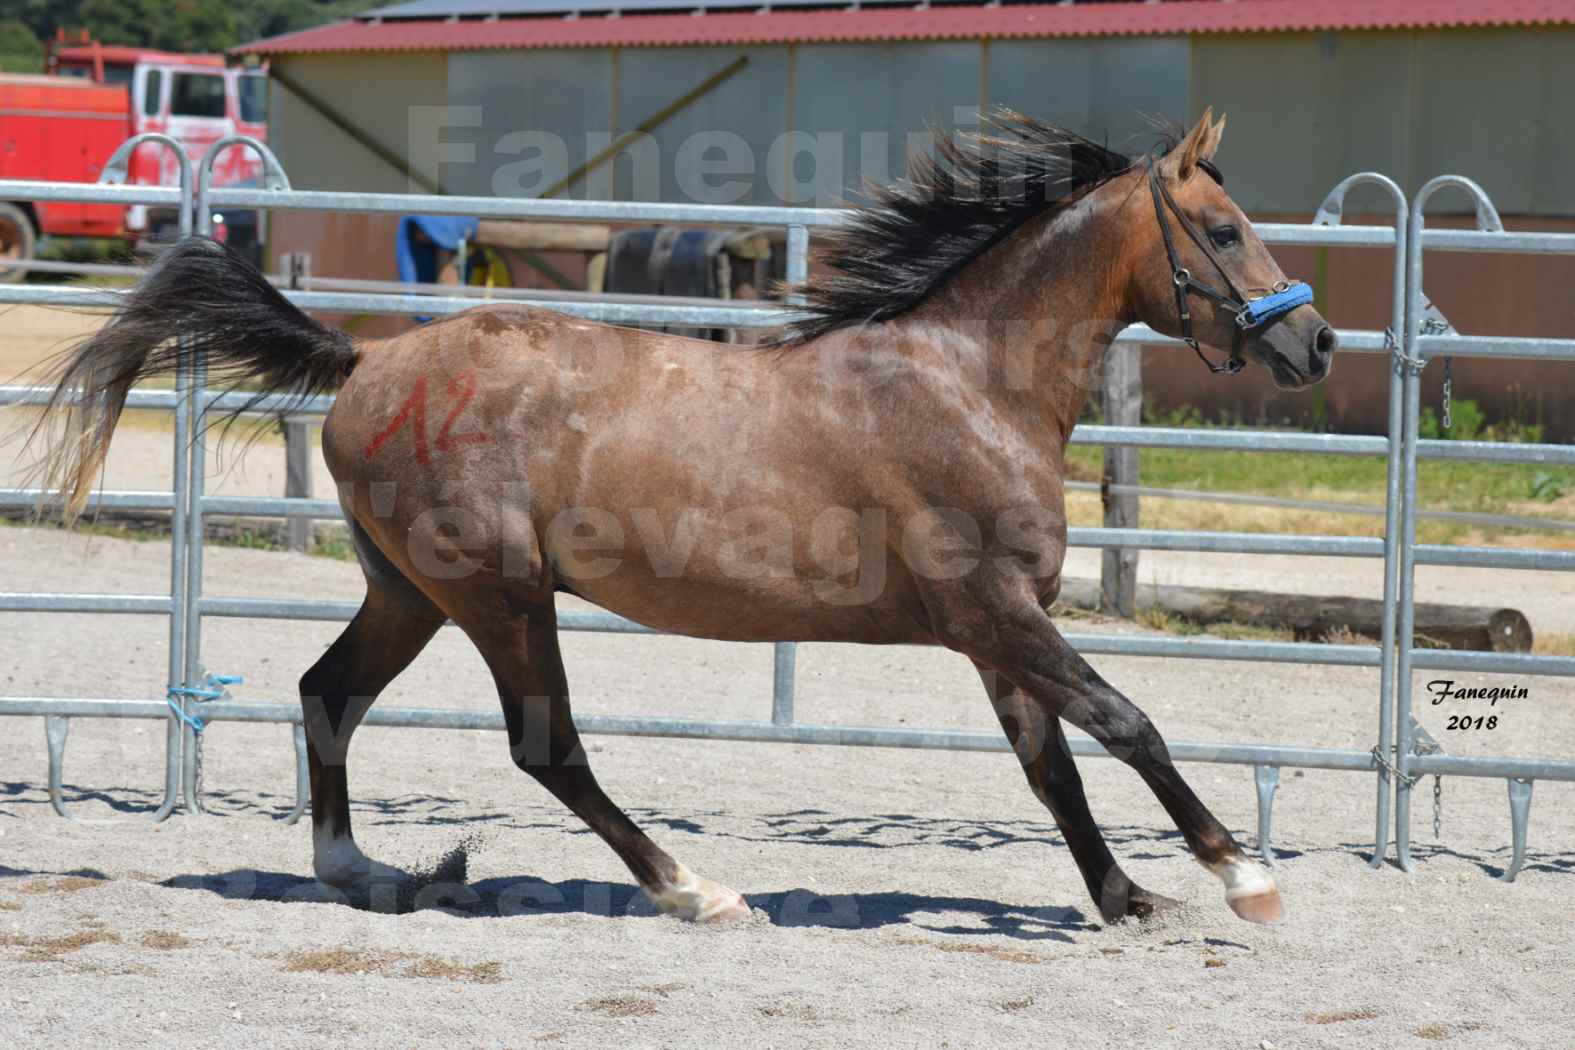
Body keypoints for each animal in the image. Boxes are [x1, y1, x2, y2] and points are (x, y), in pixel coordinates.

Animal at [27, 108, 1329, 925]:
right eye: (1222, 232)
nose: (1313, 343)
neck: (965, 384)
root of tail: (365, 362)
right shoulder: (993, 611)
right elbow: (1126, 722)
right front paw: (1244, 878)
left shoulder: (995, 630)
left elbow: (1052, 764)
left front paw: (1128, 899)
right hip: (501, 595)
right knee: (546, 748)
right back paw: (693, 890)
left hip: (412, 591)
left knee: (328, 694)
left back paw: (363, 868)